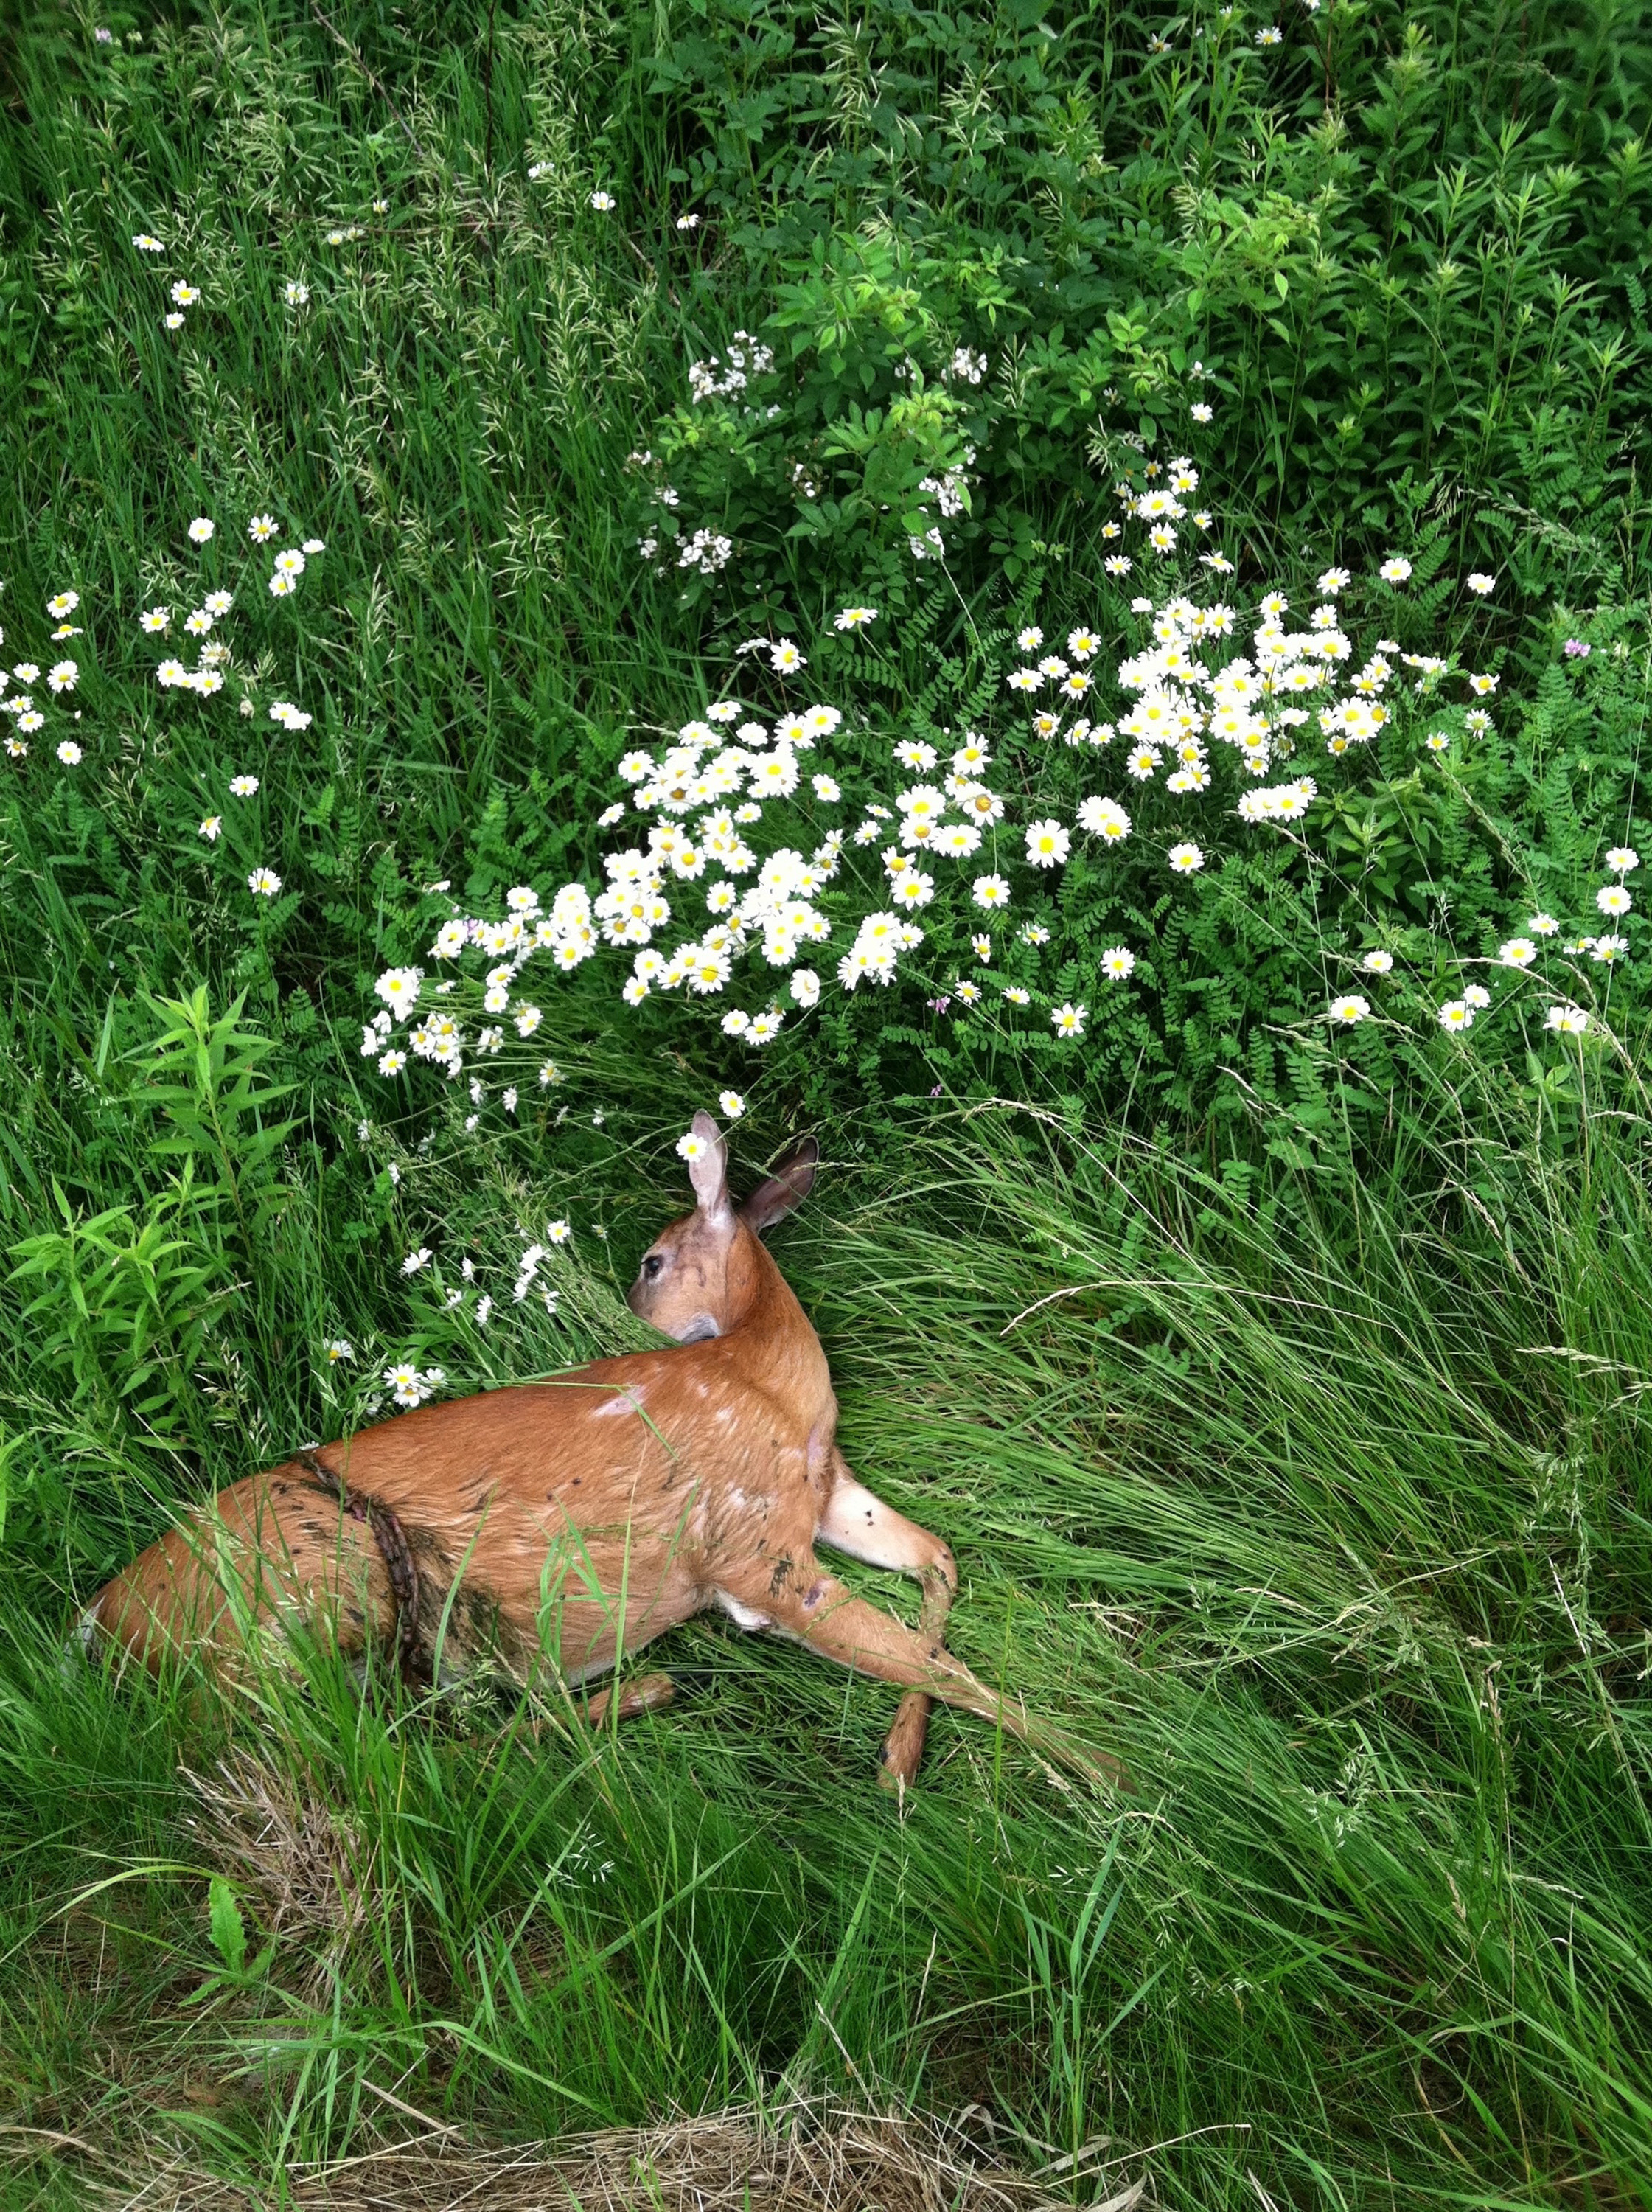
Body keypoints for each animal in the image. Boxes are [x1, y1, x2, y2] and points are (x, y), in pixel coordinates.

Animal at [80, 1115, 1110, 1787]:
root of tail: (106, 1628)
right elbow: (935, 1664)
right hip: (309, 1589)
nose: (621, 1314)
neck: (766, 1385)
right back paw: (642, 1689)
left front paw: (901, 1756)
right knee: (354, 1763)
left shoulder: (817, 1496)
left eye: (651, 1262)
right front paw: (1118, 1780)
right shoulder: (751, 1552)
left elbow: (941, 1563)